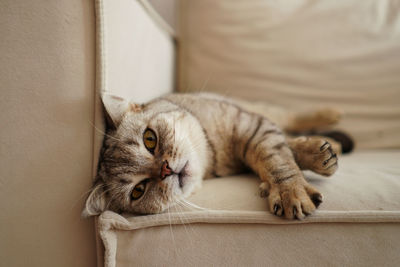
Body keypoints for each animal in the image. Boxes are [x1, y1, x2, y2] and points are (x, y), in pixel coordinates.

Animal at [83, 93, 352, 221]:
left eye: (150, 139)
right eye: (138, 190)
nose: (166, 169)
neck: (213, 153)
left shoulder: (250, 123)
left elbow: (276, 157)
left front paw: (290, 190)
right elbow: (278, 150)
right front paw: (316, 154)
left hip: (261, 109)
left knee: (289, 117)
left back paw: (331, 115)